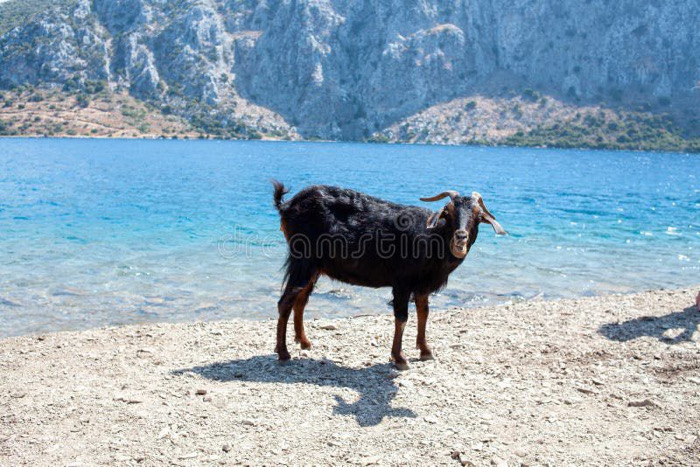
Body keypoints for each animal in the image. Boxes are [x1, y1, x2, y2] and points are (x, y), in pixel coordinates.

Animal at [272, 181, 506, 370]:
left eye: (478, 216)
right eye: (447, 213)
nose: (460, 237)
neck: (433, 239)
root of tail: (286, 205)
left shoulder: (422, 286)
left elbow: (424, 313)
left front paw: (425, 351)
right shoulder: (402, 281)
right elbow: (402, 318)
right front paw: (400, 358)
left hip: (315, 267)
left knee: (300, 300)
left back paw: (304, 342)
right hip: (303, 259)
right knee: (286, 301)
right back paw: (283, 352)